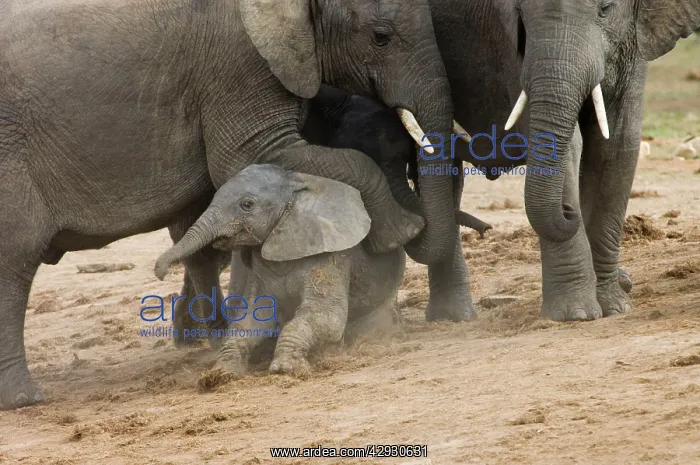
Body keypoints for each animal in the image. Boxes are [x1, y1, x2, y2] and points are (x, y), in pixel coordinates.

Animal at [153, 164, 418, 375]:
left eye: (247, 205)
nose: (160, 272)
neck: (297, 184)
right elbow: (253, 318)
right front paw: (220, 374)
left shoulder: (330, 255)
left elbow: (326, 317)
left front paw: (285, 369)